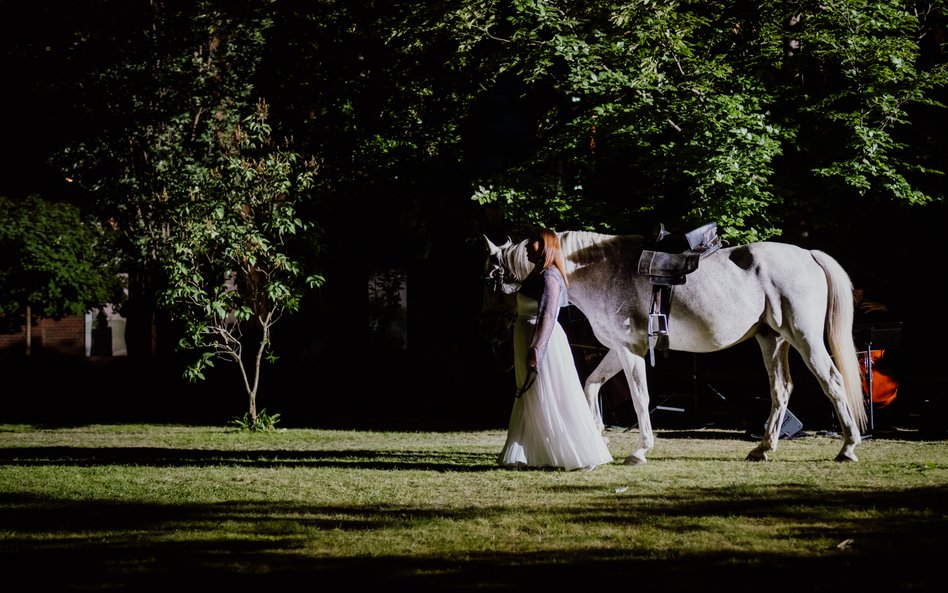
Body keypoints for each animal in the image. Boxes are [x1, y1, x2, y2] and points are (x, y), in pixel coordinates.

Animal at [482, 229, 868, 464]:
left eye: (491, 277)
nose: (491, 330)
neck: (603, 272)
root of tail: (808, 254)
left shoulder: (630, 351)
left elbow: (640, 399)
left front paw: (640, 450)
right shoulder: (618, 350)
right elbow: (591, 385)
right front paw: (597, 433)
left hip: (805, 339)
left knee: (832, 382)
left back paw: (848, 447)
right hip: (771, 341)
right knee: (781, 389)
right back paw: (763, 447)